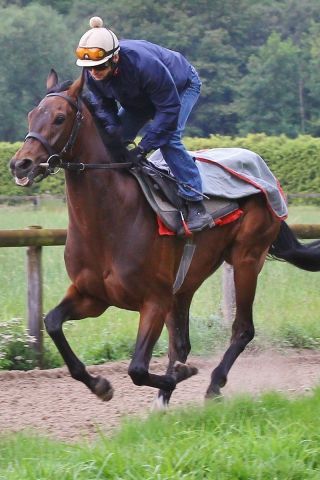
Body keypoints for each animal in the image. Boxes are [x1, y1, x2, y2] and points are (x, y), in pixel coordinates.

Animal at [8, 68, 318, 404]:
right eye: (31, 115)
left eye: (60, 118)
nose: (20, 163)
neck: (108, 223)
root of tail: (264, 170)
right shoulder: (92, 296)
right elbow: (52, 323)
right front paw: (102, 386)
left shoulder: (154, 301)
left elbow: (137, 368)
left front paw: (181, 375)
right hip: (185, 284)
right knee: (181, 342)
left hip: (247, 258)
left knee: (242, 329)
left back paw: (213, 384)